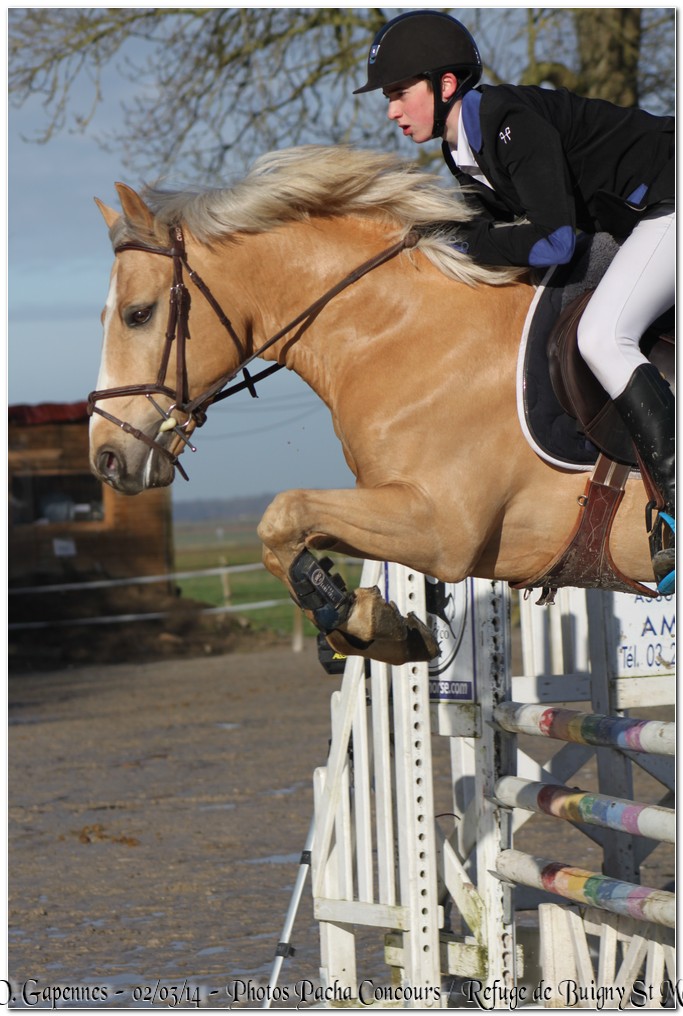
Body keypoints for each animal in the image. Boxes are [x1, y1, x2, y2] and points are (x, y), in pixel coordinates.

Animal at [87, 145, 654, 666]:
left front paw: (361, 619)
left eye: (139, 314)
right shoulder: (391, 502)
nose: (106, 458)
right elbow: (283, 537)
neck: (402, 333)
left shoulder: (443, 529)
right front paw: (366, 623)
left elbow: (281, 512)